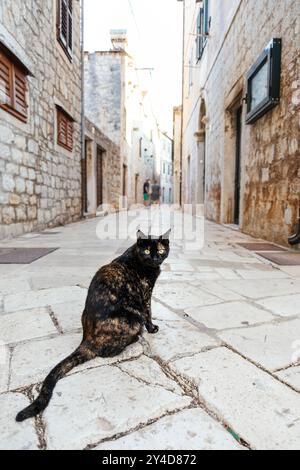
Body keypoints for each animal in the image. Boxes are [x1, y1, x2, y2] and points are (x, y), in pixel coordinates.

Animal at [16, 229, 170, 422]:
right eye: (148, 251)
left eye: (160, 250)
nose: (155, 258)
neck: (139, 259)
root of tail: (87, 339)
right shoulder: (145, 295)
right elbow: (149, 312)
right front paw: (151, 328)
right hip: (132, 319)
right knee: (107, 351)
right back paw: (134, 338)